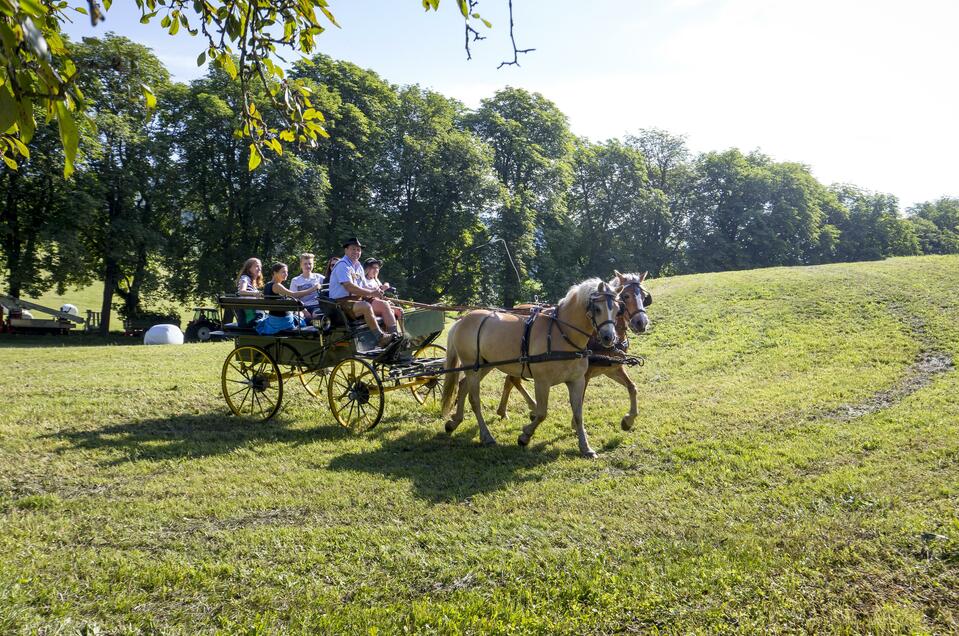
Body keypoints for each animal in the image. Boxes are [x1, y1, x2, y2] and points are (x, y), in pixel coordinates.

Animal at [442, 278, 624, 458]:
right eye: (598, 309)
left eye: (617, 310)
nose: (609, 337)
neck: (562, 334)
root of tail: (462, 320)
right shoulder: (542, 382)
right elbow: (542, 413)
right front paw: (525, 436)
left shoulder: (577, 381)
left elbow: (578, 415)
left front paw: (585, 447)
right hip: (472, 366)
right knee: (475, 400)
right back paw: (486, 436)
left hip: (484, 365)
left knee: (463, 386)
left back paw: (454, 422)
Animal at [496, 270, 652, 432]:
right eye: (626, 296)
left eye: (644, 297)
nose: (641, 322)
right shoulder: (585, 374)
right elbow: (581, 398)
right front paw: (575, 424)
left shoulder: (612, 369)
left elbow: (632, 388)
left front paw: (628, 419)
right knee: (513, 380)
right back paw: (529, 407)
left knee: (511, 380)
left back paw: (505, 411)